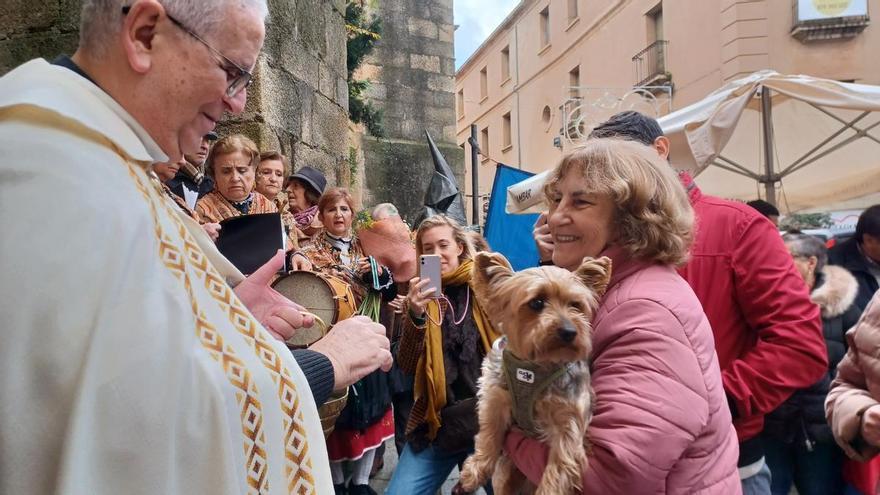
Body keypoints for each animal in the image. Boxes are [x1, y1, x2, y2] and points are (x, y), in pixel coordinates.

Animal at [458, 254, 608, 494]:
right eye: (537, 303)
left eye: (575, 305)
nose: (569, 331)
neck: (534, 366)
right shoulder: (496, 396)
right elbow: (490, 431)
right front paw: (475, 470)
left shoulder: (569, 420)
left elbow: (561, 463)